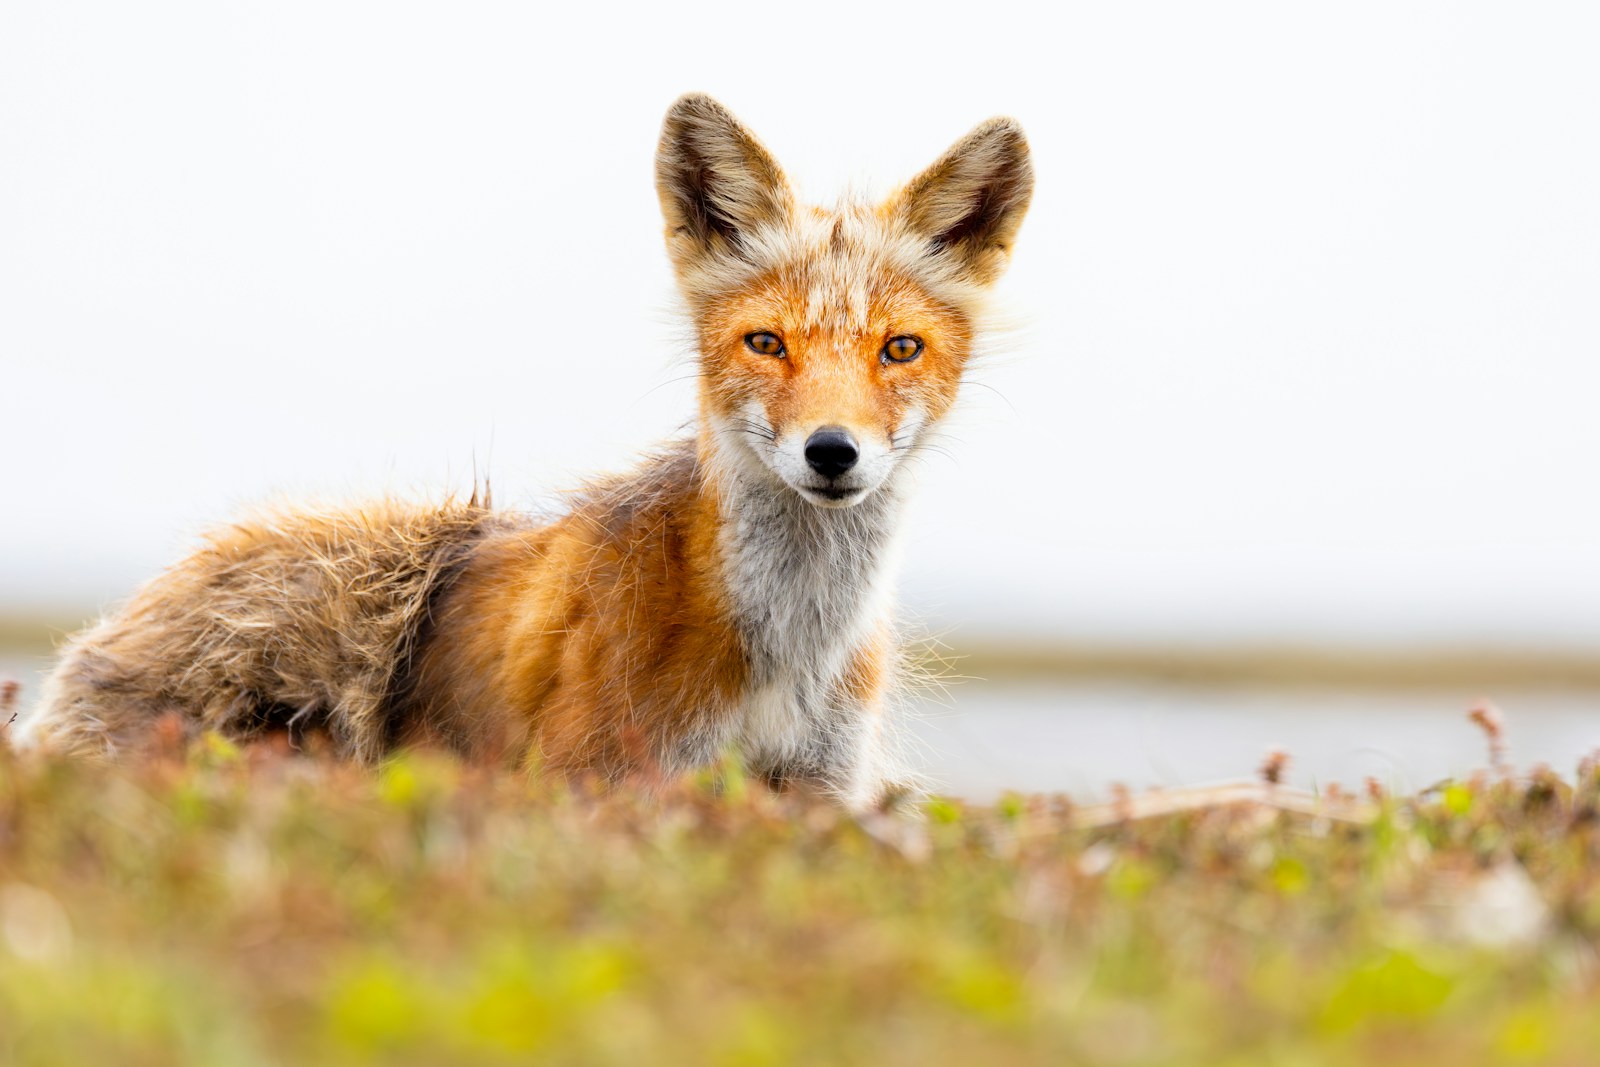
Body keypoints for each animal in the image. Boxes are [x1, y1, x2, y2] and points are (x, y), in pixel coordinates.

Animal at [15, 95, 1036, 809]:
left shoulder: (821, 793)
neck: (783, 653)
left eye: (898, 349)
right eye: (766, 343)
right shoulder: (608, 782)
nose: (832, 452)